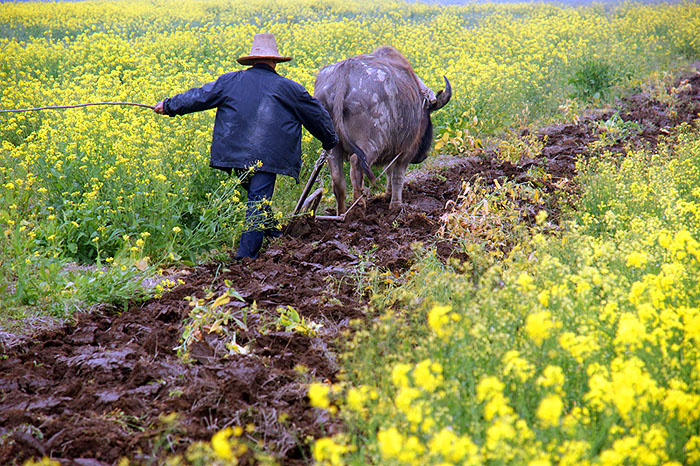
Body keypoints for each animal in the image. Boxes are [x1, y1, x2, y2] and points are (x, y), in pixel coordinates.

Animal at [314, 45, 452, 213]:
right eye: (428, 113)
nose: (422, 156)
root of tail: (344, 73)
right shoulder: (405, 151)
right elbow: (397, 175)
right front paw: (396, 205)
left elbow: (389, 172)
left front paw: (387, 195)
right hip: (371, 142)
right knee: (356, 163)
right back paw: (359, 204)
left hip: (332, 147)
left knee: (338, 180)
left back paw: (342, 213)